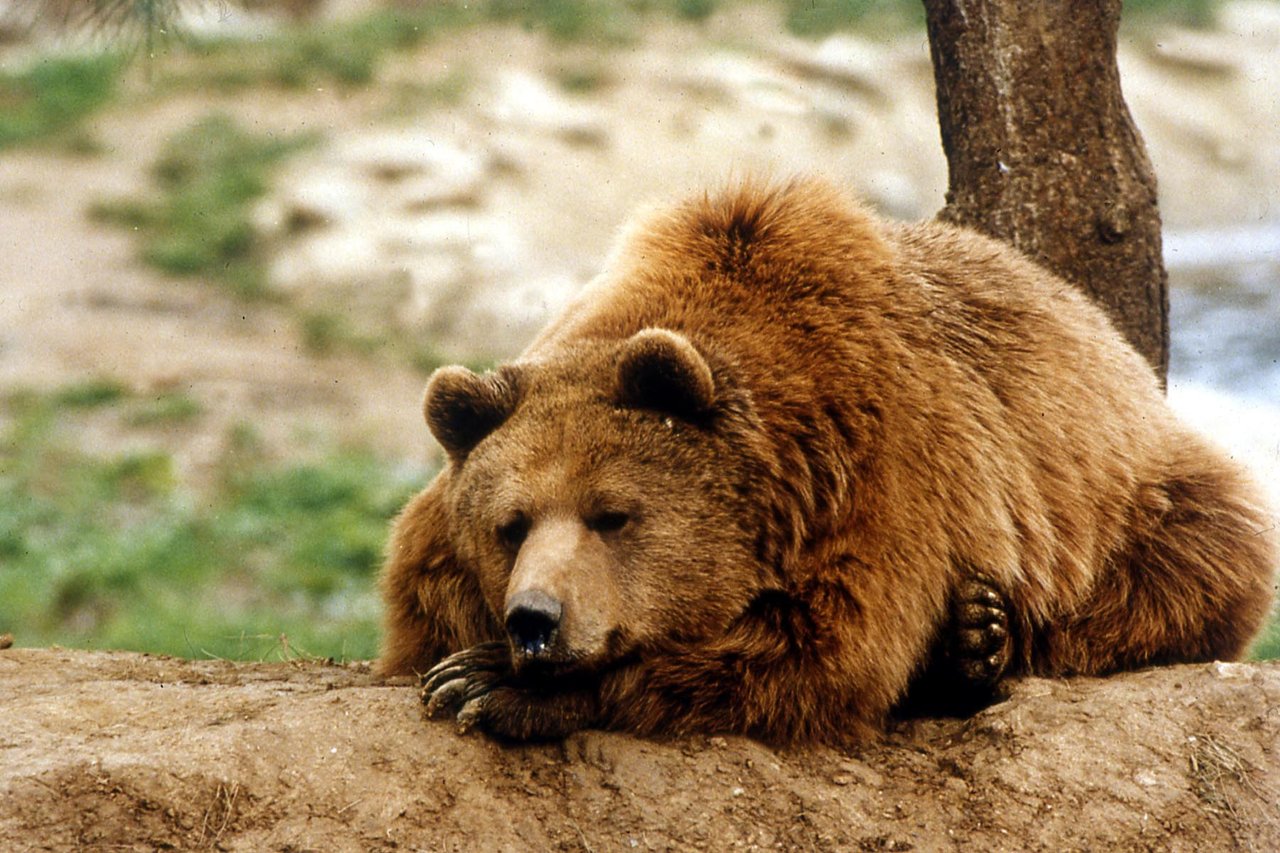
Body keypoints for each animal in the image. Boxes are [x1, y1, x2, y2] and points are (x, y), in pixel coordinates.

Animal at [373, 175, 1274, 742]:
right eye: (510, 523)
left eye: (612, 514)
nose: (534, 620)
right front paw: (471, 670)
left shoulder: (878, 465)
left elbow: (823, 650)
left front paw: (488, 683)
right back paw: (969, 640)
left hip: (1125, 493)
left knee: (1192, 559)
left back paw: (981, 640)